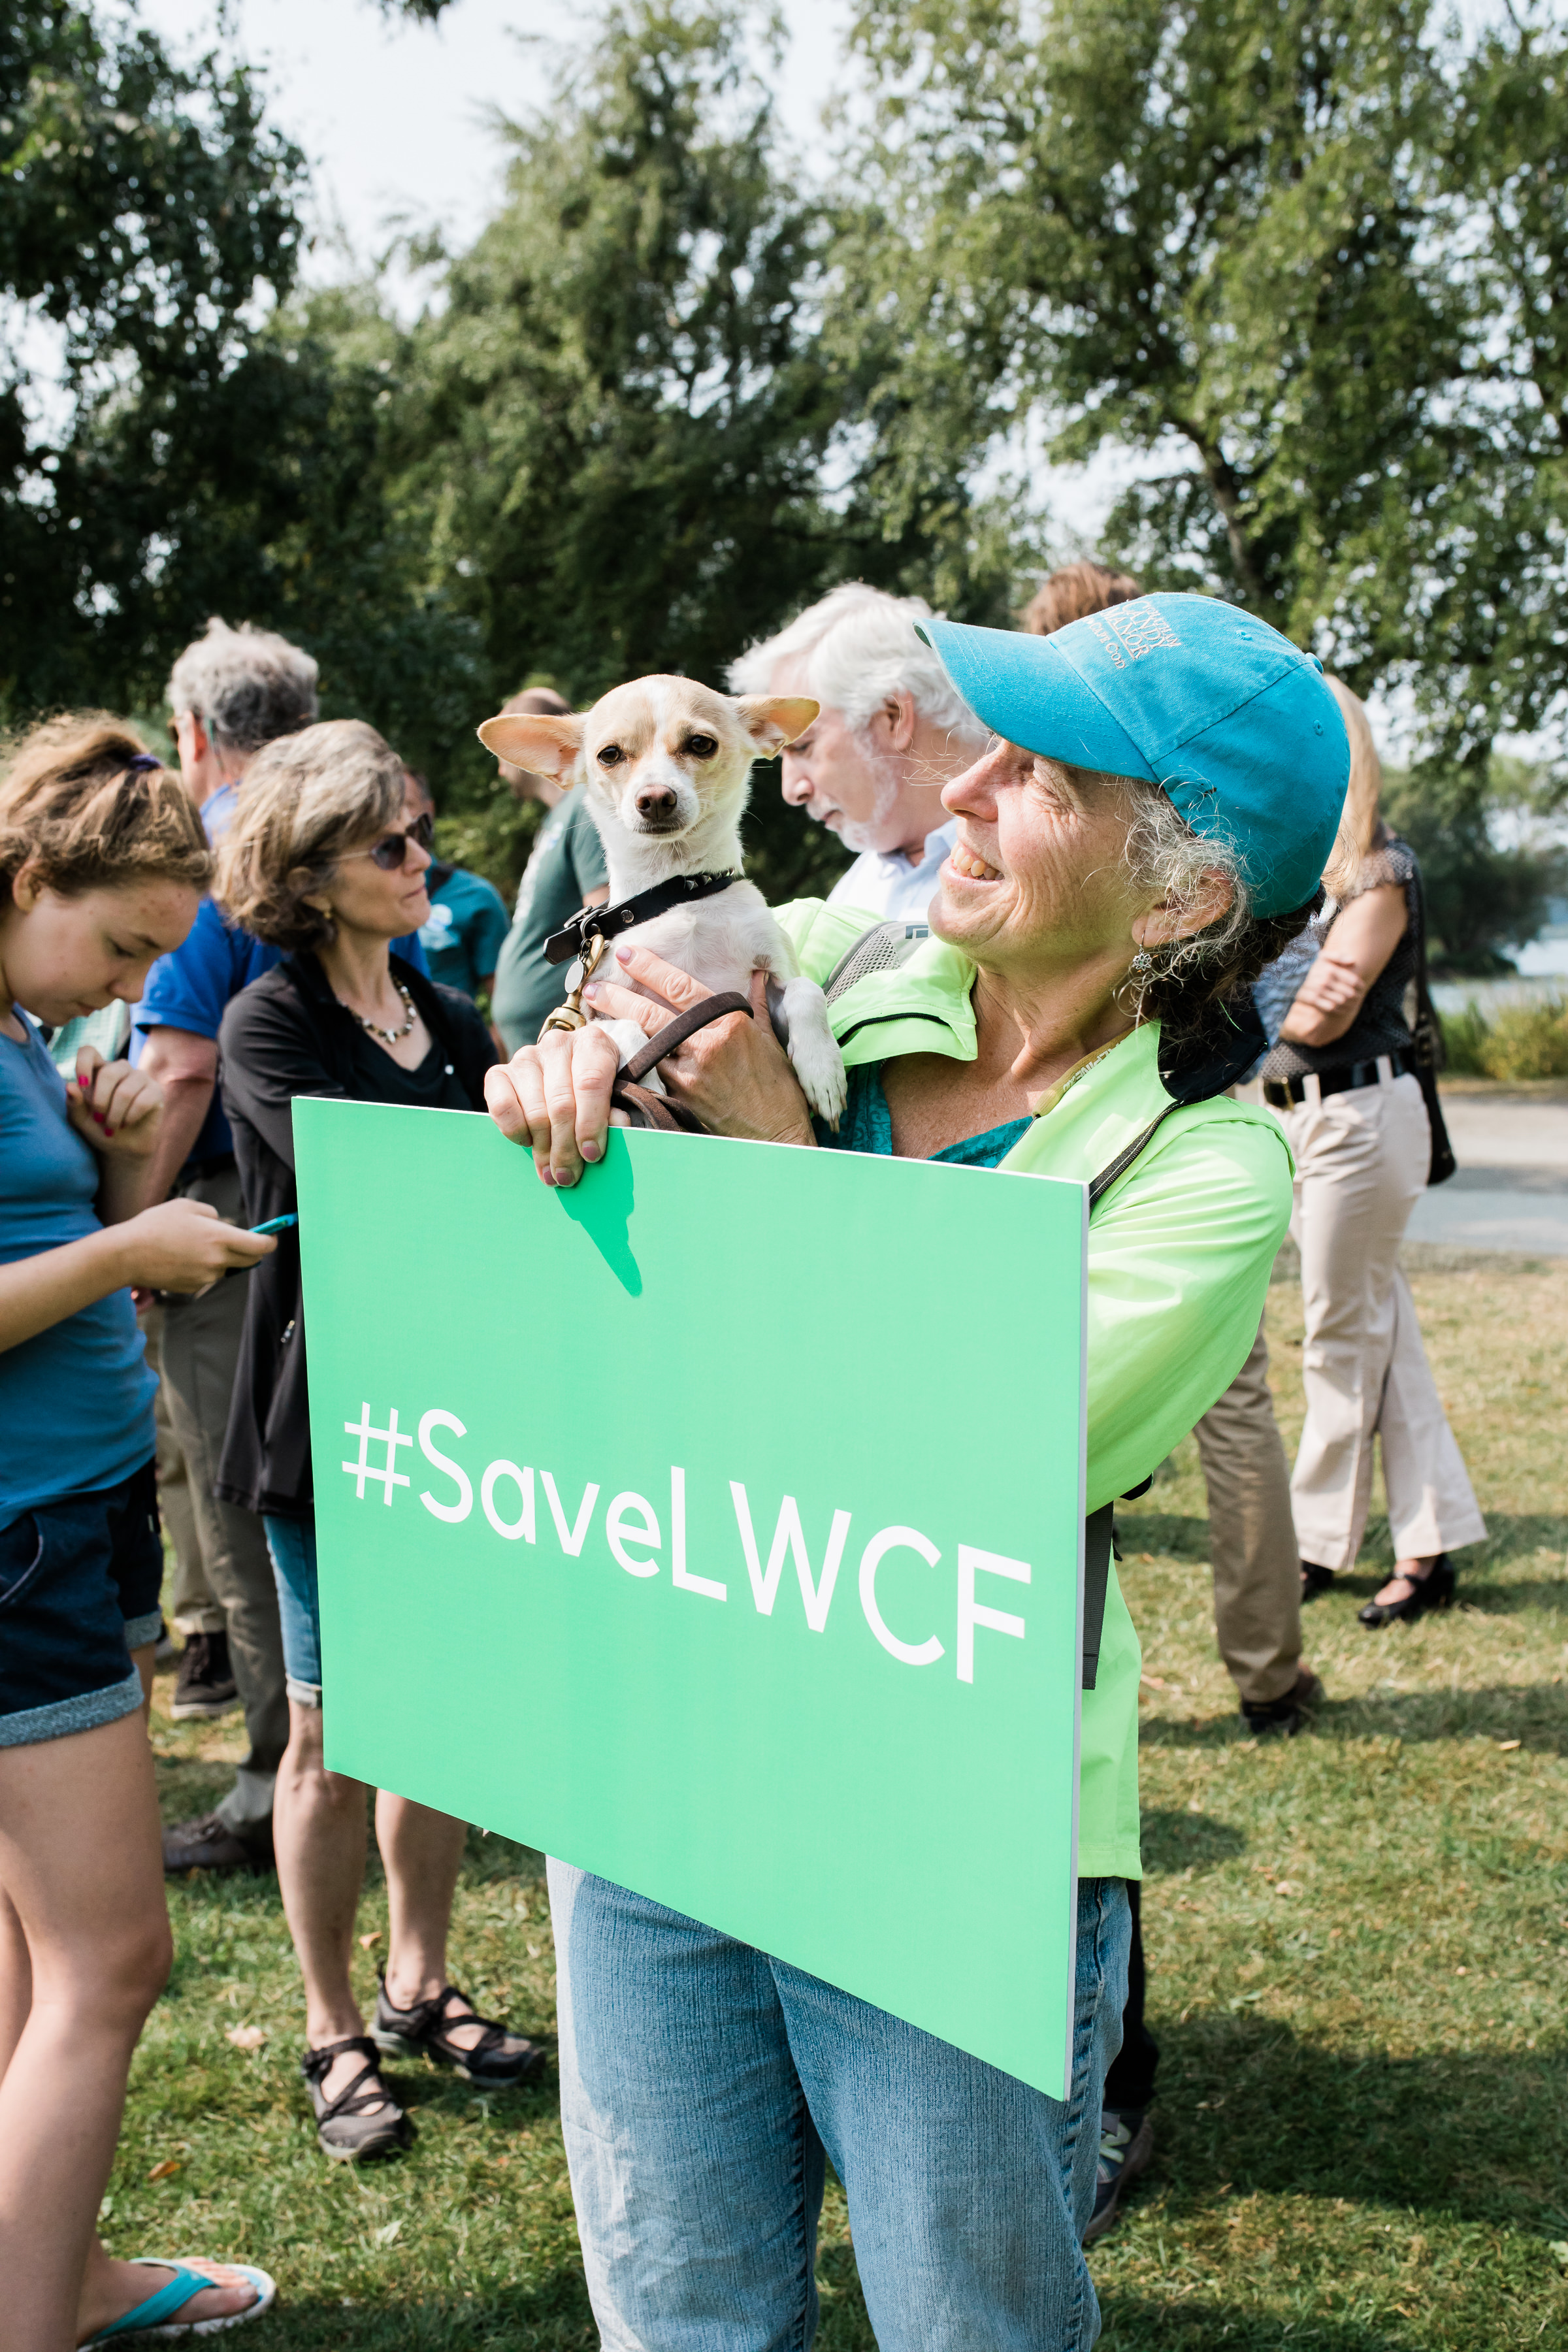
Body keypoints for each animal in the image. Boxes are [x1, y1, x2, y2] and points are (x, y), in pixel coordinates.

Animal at [480, 677, 851, 1124]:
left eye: (701, 744)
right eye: (609, 755)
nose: (655, 797)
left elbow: (805, 990)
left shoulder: (771, 981)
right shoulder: (590, 1016)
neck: (677, 894)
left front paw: (822, 1068)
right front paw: (649, 1084)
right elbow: (622, 1029)